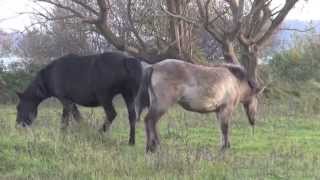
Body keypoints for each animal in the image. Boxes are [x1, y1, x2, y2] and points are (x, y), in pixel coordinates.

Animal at [15, 51, 144, 145]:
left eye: (18, 107)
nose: (18, 125)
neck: (50, 75)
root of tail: (126, 60)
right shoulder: (69, 101)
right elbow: (74, 118)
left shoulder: (65, 100)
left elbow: (68, 119)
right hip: (128, 96)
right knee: (132, 117)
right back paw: (131, 142)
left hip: (105, 97)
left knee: (111, 114)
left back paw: (97, 134)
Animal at [134, 59, 262, 152]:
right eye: (256, 99)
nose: (253, 121)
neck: (234, 81)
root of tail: (154, 66)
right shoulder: (226, 109)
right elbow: (225, 128)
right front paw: (225, 147)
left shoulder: (219, 111)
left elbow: (221, 129)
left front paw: (224, 145)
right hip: (161, 105)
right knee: (150, 121)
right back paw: (154, 147)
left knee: (151, 122)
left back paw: (151, 147)